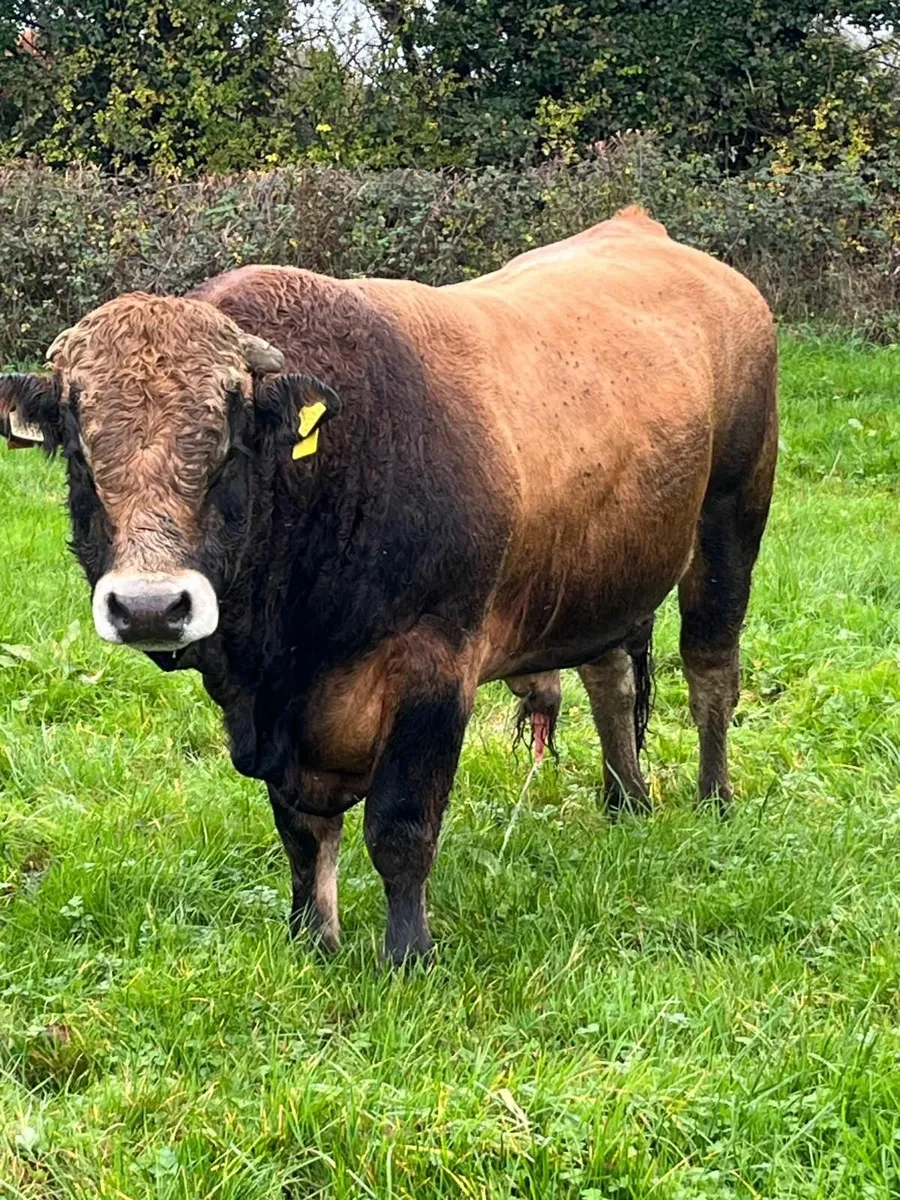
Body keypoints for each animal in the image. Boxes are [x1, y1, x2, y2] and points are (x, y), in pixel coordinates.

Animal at [0, 207, 778, 964]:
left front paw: (408, 954)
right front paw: (312, 939)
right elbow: (302, 832)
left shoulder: (433, 670)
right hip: (603, 575)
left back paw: (713, 799)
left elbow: (400, 828)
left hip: (731, 520)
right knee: (609, 678)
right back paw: (625, 801)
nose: (150, 607)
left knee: (711, 672)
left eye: (229, 445)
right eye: (79, 449)